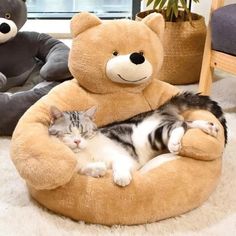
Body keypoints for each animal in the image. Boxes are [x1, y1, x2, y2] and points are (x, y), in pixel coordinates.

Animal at [48, 91, 228, 186]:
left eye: (84, 132)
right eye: (68, 133)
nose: (77, 141)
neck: (85, 153)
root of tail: (158, 110)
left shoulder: (121, 155)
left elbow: (120, 163)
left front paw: (121, 176)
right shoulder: (78, 167)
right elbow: (85, 168)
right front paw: (97, 169)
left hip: (150, 136)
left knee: (179, 125)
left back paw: (176, 142)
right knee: (185, 123)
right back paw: (209, 126)